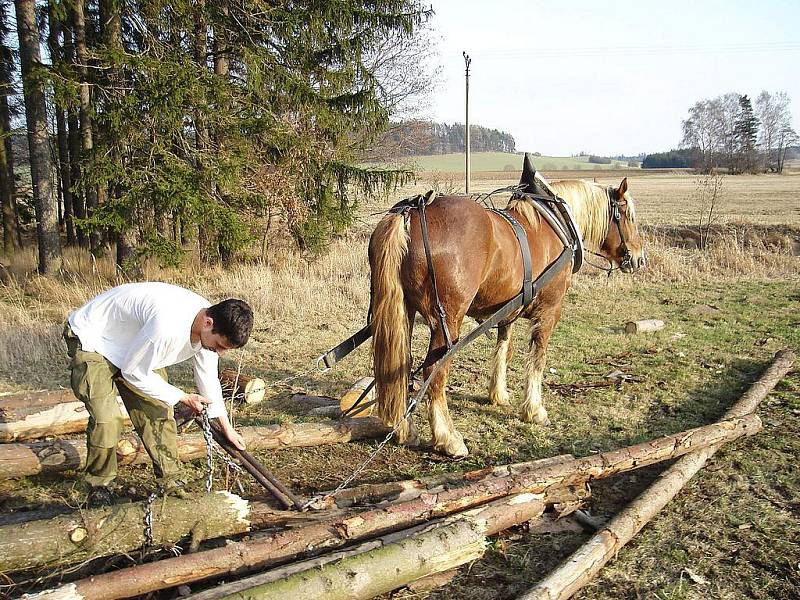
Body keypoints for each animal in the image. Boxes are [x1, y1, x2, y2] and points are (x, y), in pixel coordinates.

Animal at [370, 163, 648, 454]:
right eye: (627, 215)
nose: (639, 259)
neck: (557, 223)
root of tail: (412, 213)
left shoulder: (508, 312)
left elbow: (504, 349)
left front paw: (498, 393)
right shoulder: (550, 311)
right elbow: (537, 359)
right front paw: (535, 410)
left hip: (404, 312)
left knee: (399, 370)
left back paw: (405, 431)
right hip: (447, 322)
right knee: (433, 373)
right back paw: (448, 438)